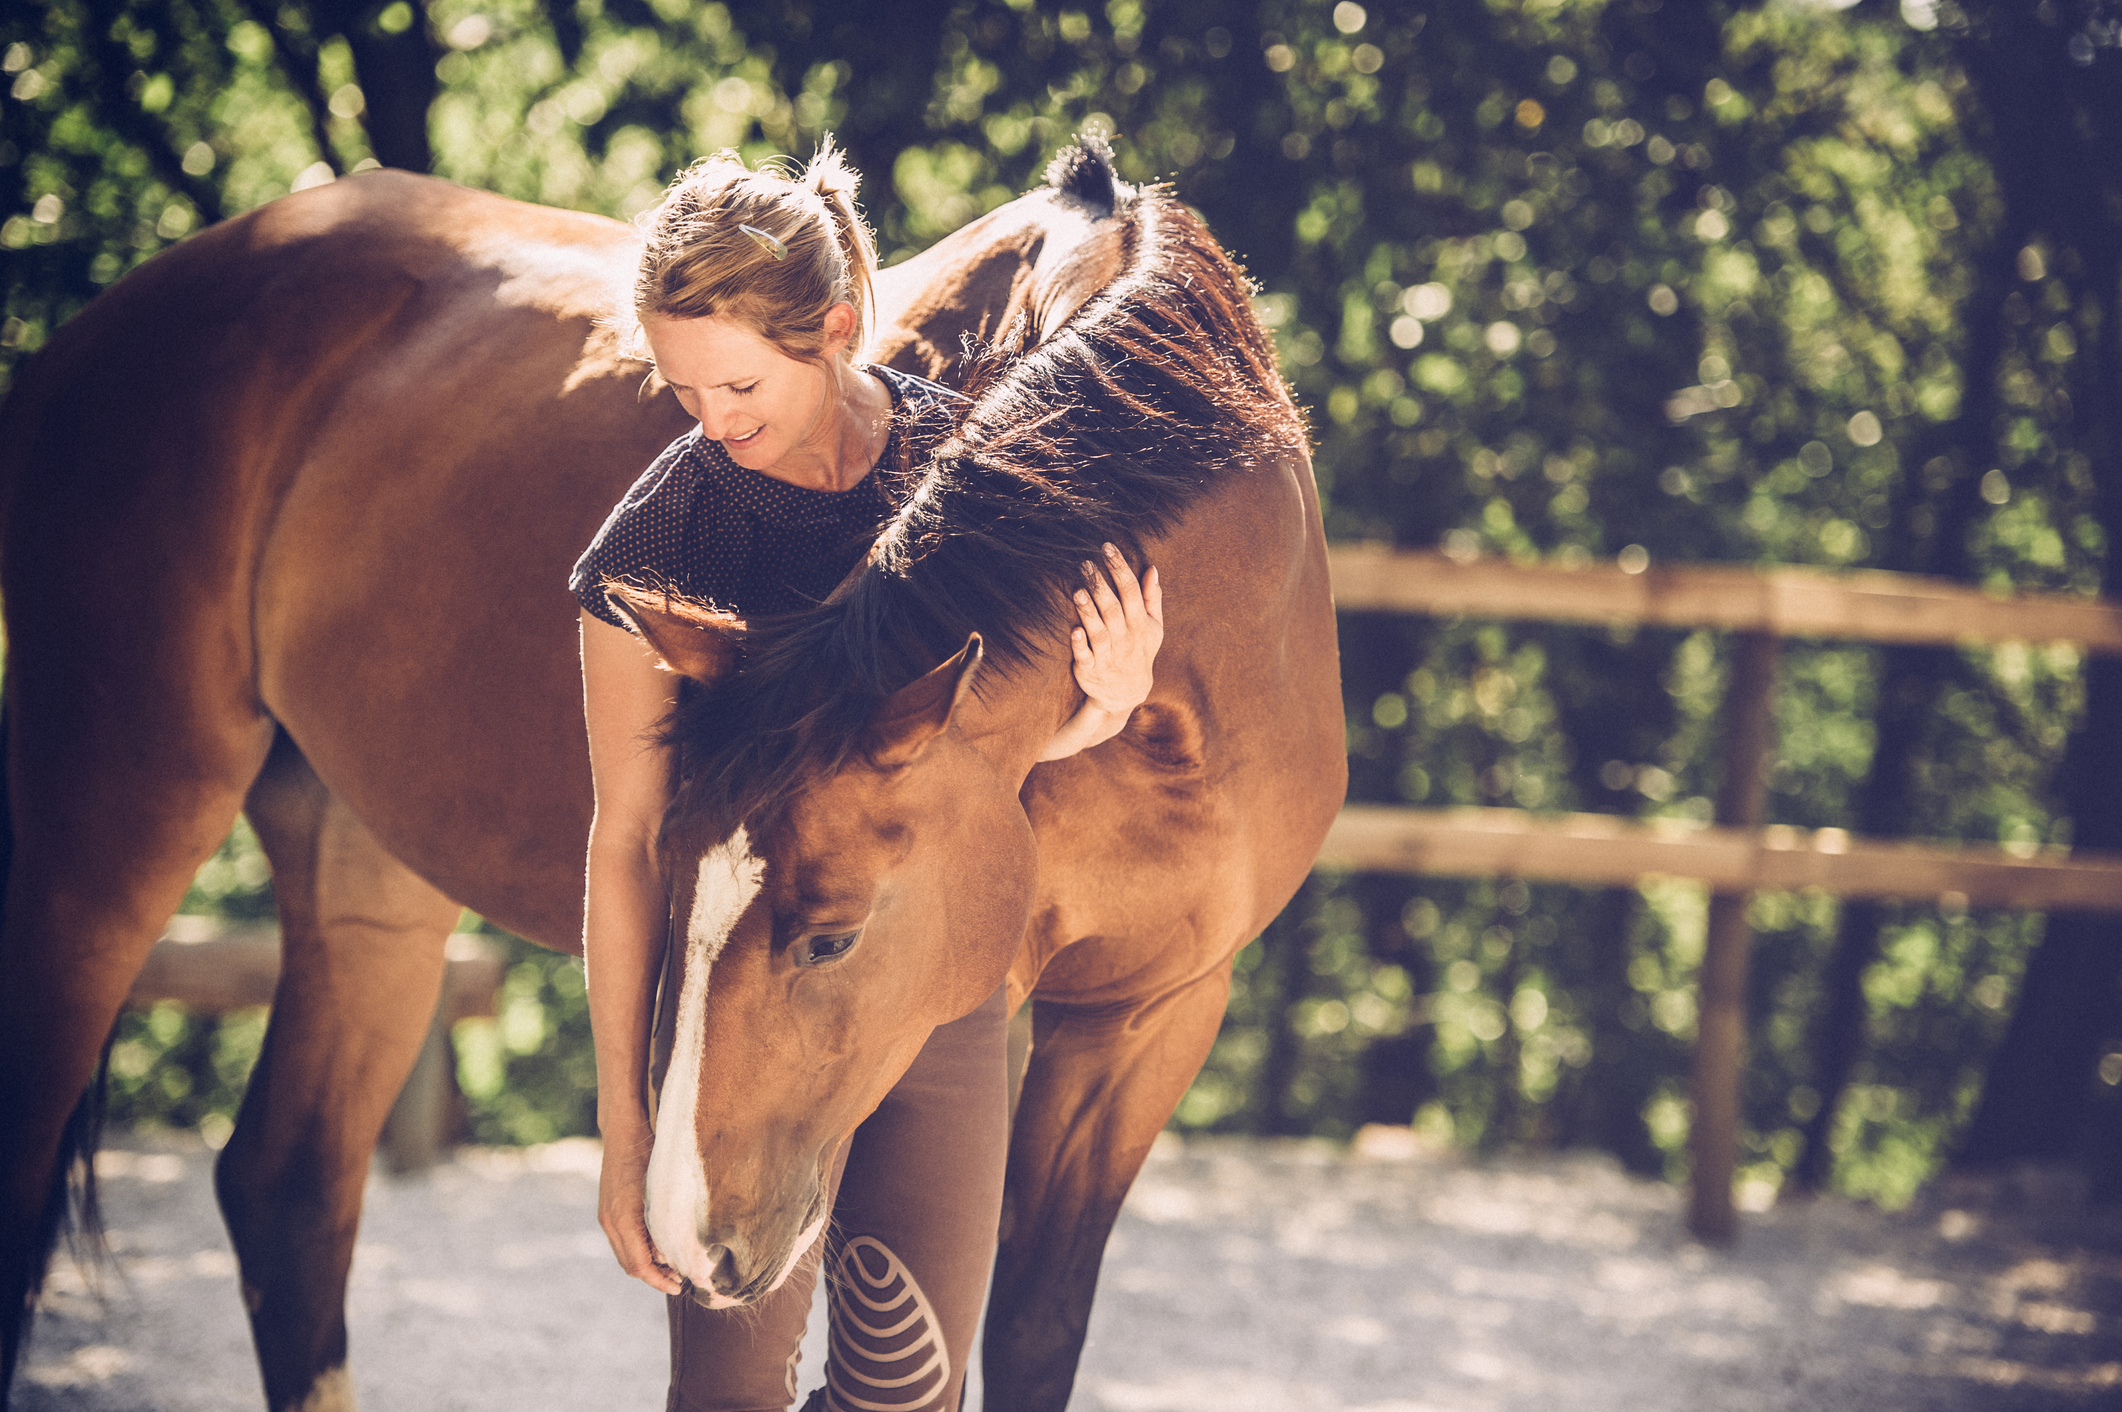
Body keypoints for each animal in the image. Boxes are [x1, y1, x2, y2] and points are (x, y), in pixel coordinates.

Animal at [0, 145, 1341, 1409]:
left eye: (830, 938)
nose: (695, 1241)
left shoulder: (1148, 1019)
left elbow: (1030, 1336)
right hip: (115, 821)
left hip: (364, 876)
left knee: (286, 1185)